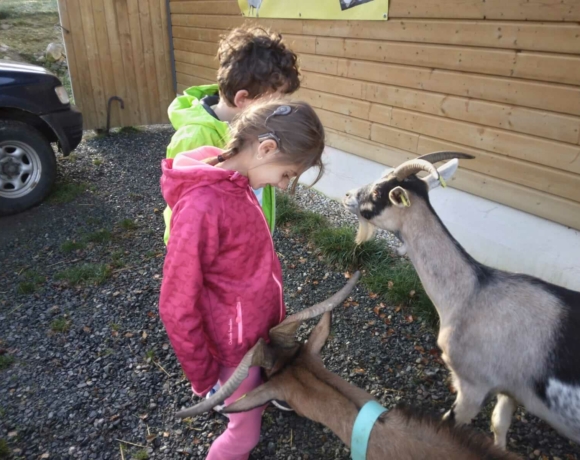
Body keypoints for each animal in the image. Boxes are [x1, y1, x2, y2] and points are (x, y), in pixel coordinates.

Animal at [342, 152, 580, 450]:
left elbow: (450, 427)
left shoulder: (472, 386)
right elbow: (498, 425)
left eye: (377, 192)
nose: (347, 195)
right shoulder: (510, 391)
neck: (471, 295)